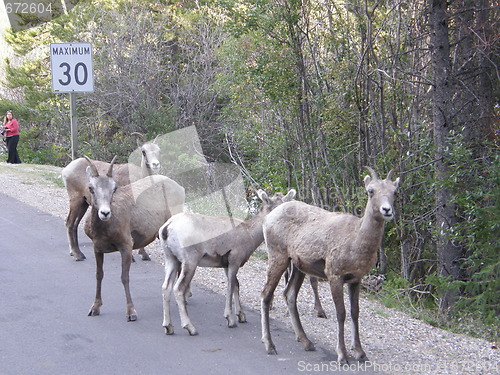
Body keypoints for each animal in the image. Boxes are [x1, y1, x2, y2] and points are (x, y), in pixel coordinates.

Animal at [61, 133, 161, 262]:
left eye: (158, 151)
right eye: (144, 151)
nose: (156, 164)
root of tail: (67, 169)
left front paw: (144, 255)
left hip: (84, 203)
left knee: (75, 225)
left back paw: (76, 253)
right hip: (76, 200)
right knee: (69, 223)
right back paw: (77, 255)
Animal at [84, 157, 186, 322]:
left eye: (114, 188)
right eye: (91, 187)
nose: (105, 213)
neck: (105, 229)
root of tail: (180, 188)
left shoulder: (126, 246)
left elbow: (124, 277)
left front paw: (131, 313)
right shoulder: (97, 248)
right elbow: (99, 275)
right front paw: (95, 308)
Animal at [160, 189, 294, 336]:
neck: (250, 234)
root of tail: (166, 229)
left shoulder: (226, 264)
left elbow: (236, 285)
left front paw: (241, 316)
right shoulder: (234, 260)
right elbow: (230, 287)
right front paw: (230, 319)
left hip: (171, 259)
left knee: (166, 287)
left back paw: (168, 327)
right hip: (189, 261)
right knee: (178, 288)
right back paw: (190, 327)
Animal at [262, 170, 398, 364]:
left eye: (395, 192)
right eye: (371, 191)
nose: (386, 210)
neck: (357, 240)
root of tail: (270, 216)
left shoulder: (355, 280)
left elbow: (355, 313)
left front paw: (360, 353)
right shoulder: (335, 277)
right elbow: (341, 313)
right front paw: (343, 355)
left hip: (298, 268)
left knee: (289, 295)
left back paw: (307, 342)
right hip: (278, 259)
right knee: (266, 295)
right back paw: (270, 346)